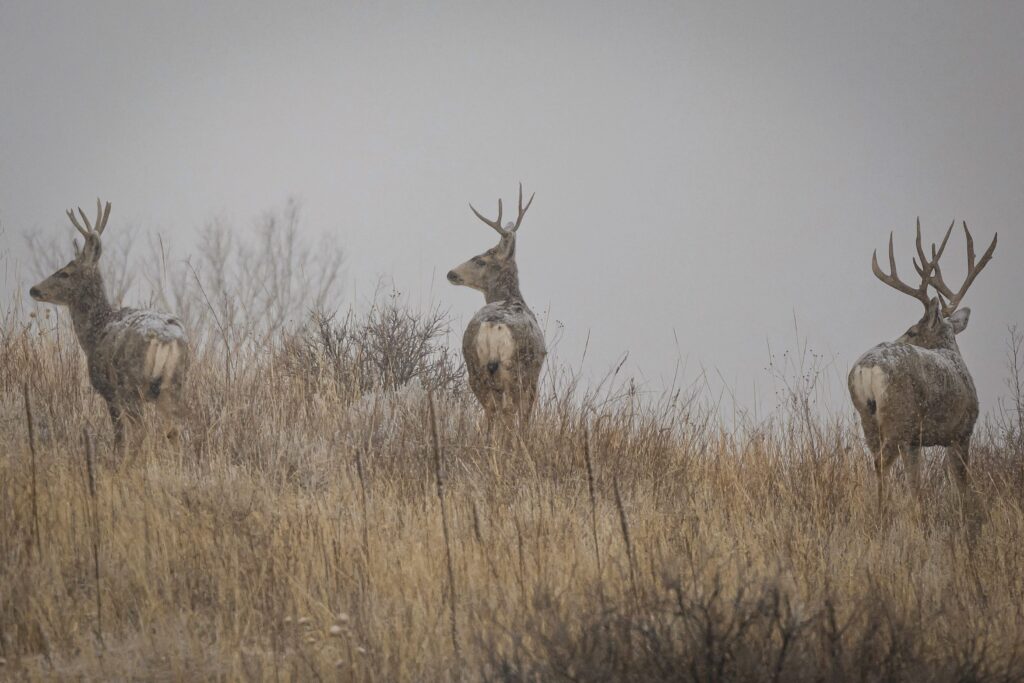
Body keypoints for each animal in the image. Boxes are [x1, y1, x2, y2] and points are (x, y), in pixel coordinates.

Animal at [29, 200, 190, 453]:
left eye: (65, 273)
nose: (34, 289)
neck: (94, 332)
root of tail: (167, 339)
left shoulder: (108, 389)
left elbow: (119, 436)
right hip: (175, 385)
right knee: (174, 432)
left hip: (132, 384)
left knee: (141, 432)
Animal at [447, 184, 547, 430]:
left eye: (479, 259)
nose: (451, 273)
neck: (513, 297)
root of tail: (493, 326)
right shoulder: (534, 377)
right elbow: (526, 415)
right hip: (515, 369)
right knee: (508, 411)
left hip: (474, 367)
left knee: (490, 410)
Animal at [848, 219, 997, 506]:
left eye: (911, 331)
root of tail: (866, 369)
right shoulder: (961, 431)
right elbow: (960, 486)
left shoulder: (915, 442)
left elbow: (914, 486)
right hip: (899, 417)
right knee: (881, 463)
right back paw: (882, 512)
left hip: (870, 420)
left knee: (877, 461)